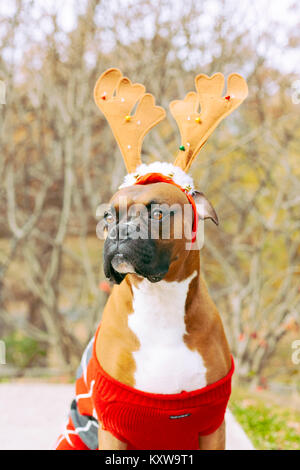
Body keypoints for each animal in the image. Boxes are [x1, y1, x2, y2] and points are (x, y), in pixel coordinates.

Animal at [55, 68, 247, 450]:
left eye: (158, 213)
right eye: (108, 216)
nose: (120, 231)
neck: (160, 302)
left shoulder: (212, 423)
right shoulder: (112, 426)